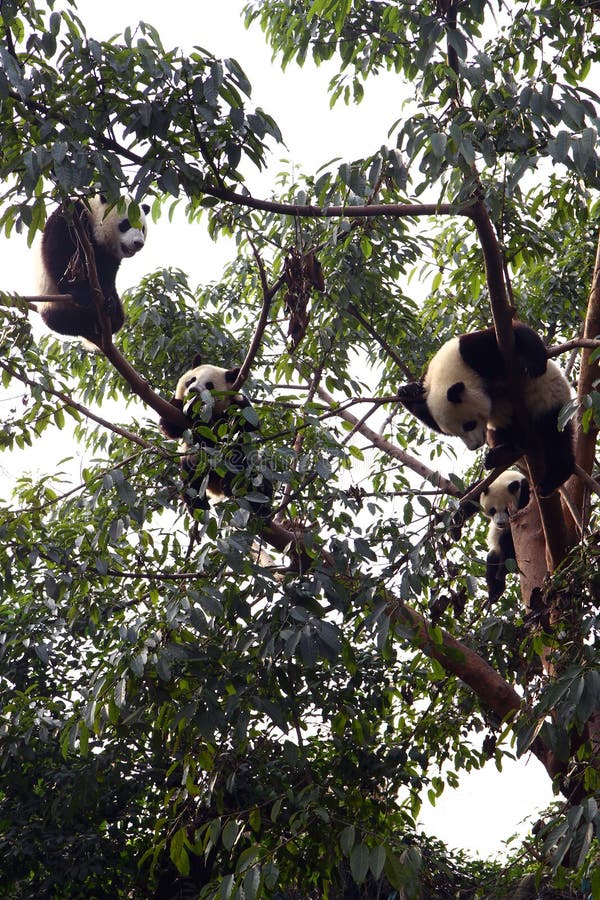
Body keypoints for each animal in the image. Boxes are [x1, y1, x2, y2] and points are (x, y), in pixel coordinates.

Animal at [36, 195, 149, 347]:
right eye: (126, 224)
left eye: (142, 228)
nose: (138, 243)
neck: (93, 214)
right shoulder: (69, 217)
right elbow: (59, 254)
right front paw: (85, 296)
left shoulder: (108, 254)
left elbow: (107, 275)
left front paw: (108, 303)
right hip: (53, 301)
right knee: (63, 321)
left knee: (120, 317)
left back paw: (112, 315)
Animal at [159, 356, 272, 517]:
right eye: (191, 380)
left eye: (209, 385)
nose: (193, 390)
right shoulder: (173, 413)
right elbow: (168, 425)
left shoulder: (236, 404)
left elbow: (248, 426)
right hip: (194, 465)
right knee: (191, 478)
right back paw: (199, 504)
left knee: (255, 472)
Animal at [398, 321, 574, 498]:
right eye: (454, 434)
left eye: (469, 425)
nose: (474, 446)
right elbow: (424, 412)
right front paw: (408, 390)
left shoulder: (475, 351)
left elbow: (515, 332)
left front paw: (535, 364)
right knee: (503, 431)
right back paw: (502, 453)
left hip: (551, 401)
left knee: (553, 432)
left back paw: (552, 479)